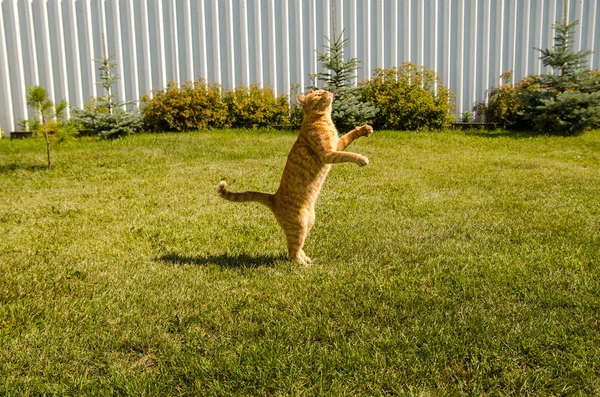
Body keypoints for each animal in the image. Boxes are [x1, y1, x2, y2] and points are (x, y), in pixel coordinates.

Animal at [218, 89, 372, 266]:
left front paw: (364, 129)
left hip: (309, 222)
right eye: (318, 95)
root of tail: (274, 198)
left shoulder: (337, 144)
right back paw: (303, 265)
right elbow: (349, 155)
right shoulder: (328, 154)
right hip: (299, 225)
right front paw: (362, 159)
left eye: (322, 91)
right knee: (292, 252)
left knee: (298, 247)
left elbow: (349, 136)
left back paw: (306, 258)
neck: (323, 120)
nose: (328, 91)